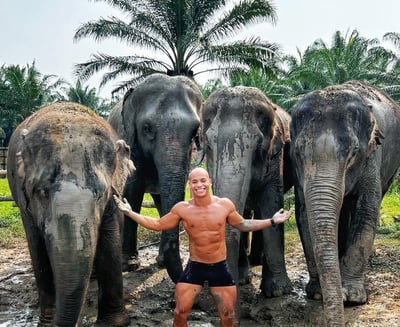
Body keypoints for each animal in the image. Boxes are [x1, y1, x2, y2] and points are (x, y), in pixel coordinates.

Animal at [6, 102, 134, 327]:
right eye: (42, 192)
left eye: (100, 194)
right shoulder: (23, 201)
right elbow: (37, 249)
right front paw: (46, 324)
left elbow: (109, 239)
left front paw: (112, 323)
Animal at [108, 73, 203, 284]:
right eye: (147, 128)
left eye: (195, 131)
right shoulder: (130, 140)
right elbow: (133, 190)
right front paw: (129, 265)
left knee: (160, 202)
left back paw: (160, 261)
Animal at [203, 86, 294, 298]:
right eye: (208, 145)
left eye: (259, 145)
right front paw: (244, 280)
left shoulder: (276, 154)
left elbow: (271, 199)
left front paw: (277, 292)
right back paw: (247, 271)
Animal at [290, 80, 400, 327]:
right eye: (297, 153)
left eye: (353, 153)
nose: (338, 296)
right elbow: (304, 215)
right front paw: (318, 293)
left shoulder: (372, 158)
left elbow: (367, 210)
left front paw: (351, 296)